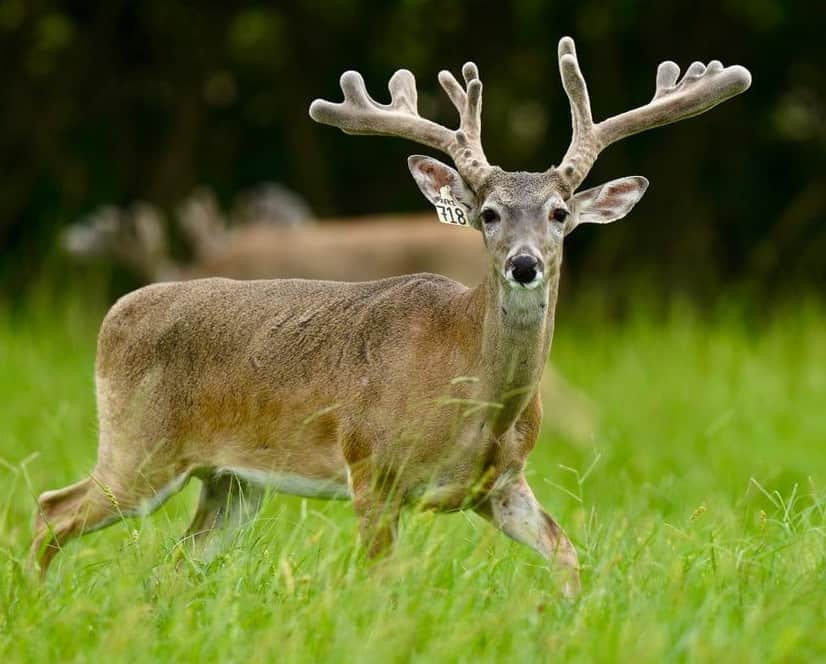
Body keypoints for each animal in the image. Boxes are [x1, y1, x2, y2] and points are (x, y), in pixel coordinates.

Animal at [32, 37, 750, 596]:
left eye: (559, 213)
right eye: (489, 214)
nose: (524, 264)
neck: (474, 399)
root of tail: (118, 311)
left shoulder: (502, 485)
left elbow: (569, 558)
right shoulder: (371, 468)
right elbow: (383, 584)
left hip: (230, 481)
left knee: (171, 563)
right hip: (140, 445)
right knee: (51, 510)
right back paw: (38, 602)